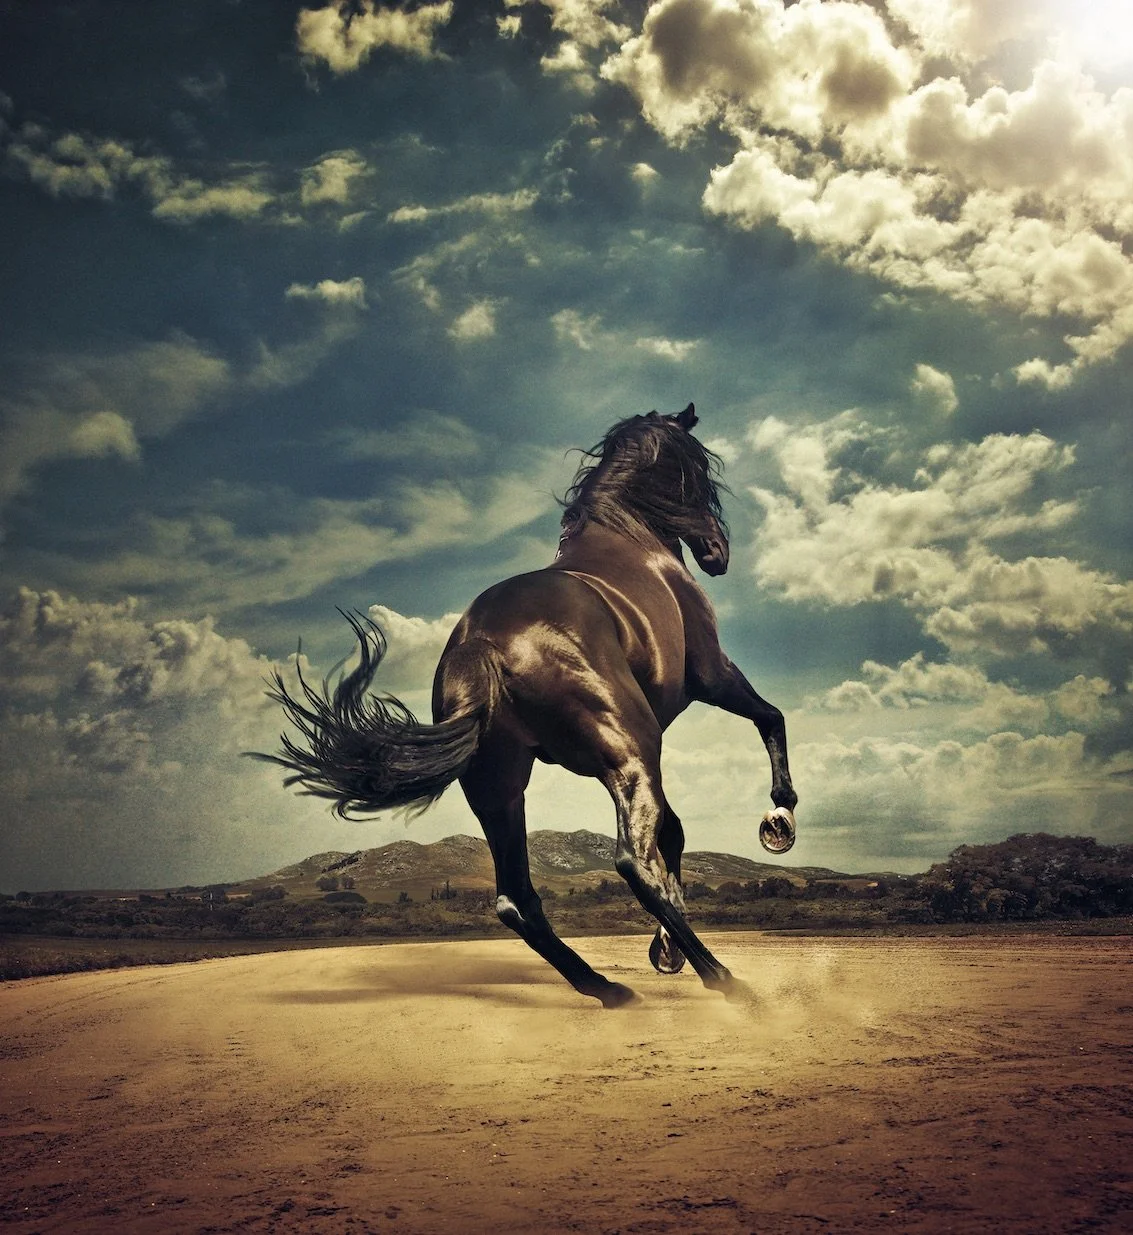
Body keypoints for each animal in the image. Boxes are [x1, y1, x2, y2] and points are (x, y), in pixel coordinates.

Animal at [259, 404, 798, 1007]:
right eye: (700, 469)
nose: (717, 554)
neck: (629, 536)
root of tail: (483, 644)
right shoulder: (711, 673)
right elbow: (769, 718)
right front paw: (780, 820)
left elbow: (677, 833)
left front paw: (665, 952)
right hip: (631, 752)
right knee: (632, 862)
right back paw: (725, 981)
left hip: (501, 790)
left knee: (517, 899)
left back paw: (608, 987)